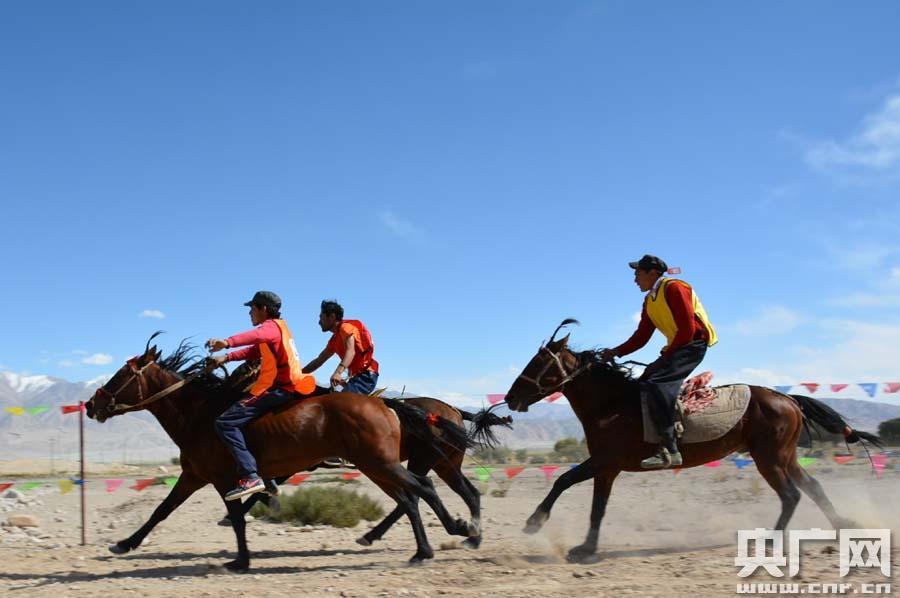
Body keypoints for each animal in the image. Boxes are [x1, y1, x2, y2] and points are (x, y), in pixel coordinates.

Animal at [84, 338, 478, 572]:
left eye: (120, 374)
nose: (91, 405)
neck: (199, 413)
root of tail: (388, 406)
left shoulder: (225, 478)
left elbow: (238, 516)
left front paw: (241, 560)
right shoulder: (194, 476)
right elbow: (161, 510)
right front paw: (124, 544)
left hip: (388, 463)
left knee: (423, 491)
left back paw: (456, 533)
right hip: (382, 465)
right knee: (417, 498)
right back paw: (431, 543)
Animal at [502, 322, 884, 564]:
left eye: (537, 362)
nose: (509, 397)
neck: (612, 404)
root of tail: (787, 398)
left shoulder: (606, 462)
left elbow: (569, 483)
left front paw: (538, 523)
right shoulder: (606, 468)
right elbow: (590, 502)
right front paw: (583, 546)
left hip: (768, 458)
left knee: (791, 494)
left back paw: (769, 541)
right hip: (784, 456)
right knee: (813, 486)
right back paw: (843, 526)